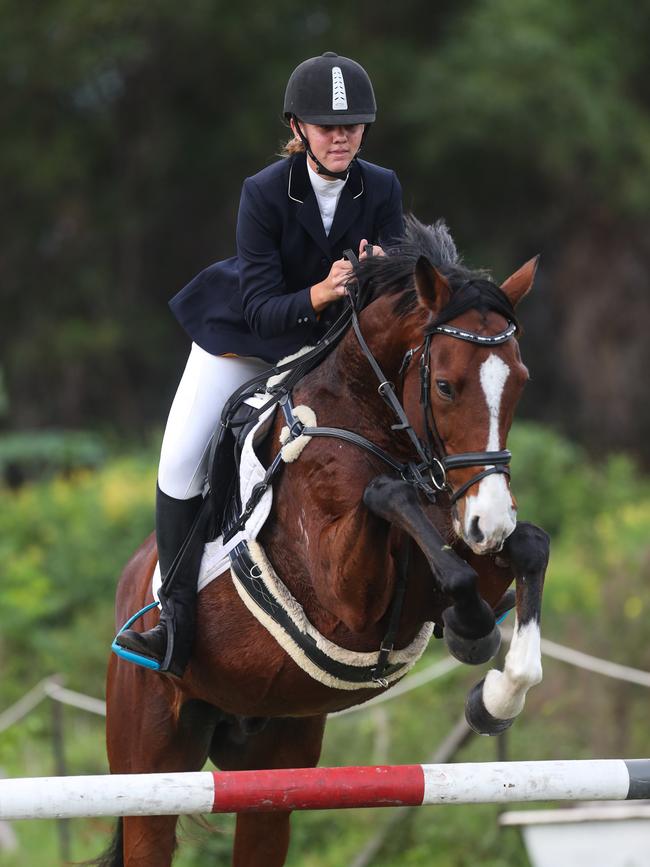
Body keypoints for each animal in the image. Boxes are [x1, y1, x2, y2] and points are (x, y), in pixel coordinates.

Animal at [100, 220, 548, 867]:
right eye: (444, 385)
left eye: (520, 383)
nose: (488, 521)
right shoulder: (345, 599)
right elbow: (390, 498)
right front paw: (472, 633)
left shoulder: (446, 554)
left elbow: (527, 549)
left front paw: (496, 693)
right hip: (150, 771)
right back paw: (160, 633)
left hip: (273, 772)